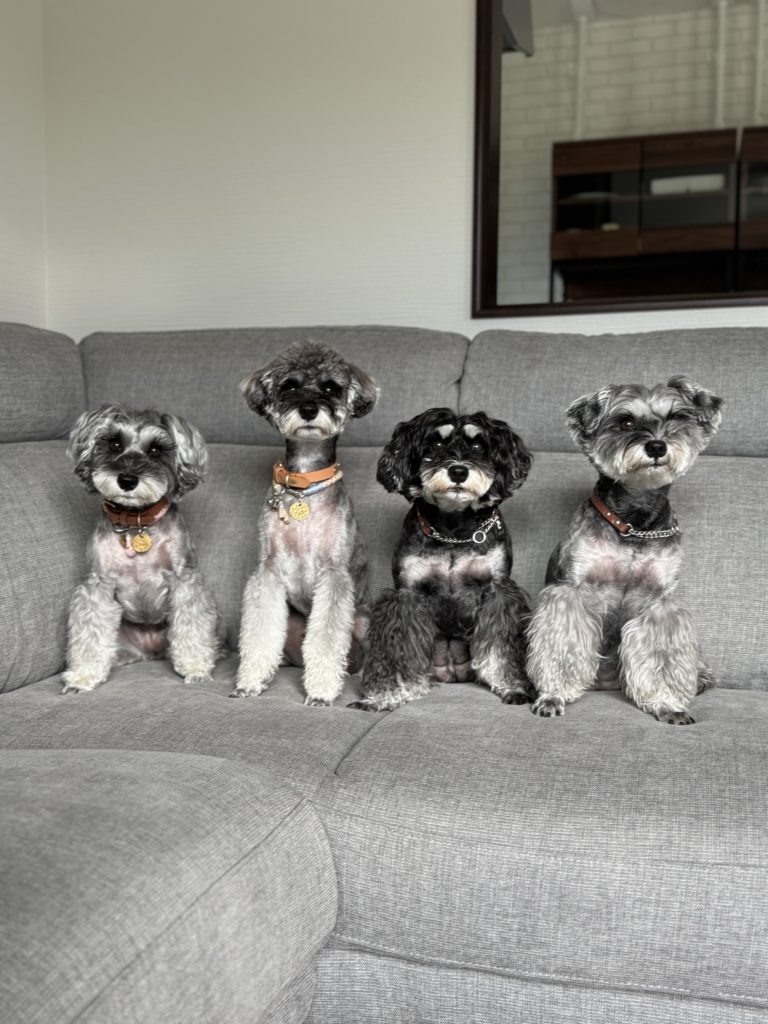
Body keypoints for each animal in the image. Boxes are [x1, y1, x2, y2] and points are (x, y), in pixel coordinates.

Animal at [62, 404, 221, 693]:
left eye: (156, 450)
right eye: (114, 443)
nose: (127, 480)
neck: (135, 522)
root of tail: (150, 651)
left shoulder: (185, 581)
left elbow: (192, 625)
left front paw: (195, 668)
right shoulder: (97, 586)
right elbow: (89, 633)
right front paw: (83, 676)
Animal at [231, 340, 378, 705]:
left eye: (331, 387)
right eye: (290, 385)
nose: (309, 409)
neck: (304, 487)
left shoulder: (334, 574)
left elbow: (326, 638)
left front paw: (322, 691)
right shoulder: (268, 572)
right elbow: (259, 633)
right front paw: (249, 682)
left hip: (364, 624)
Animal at [351, 407, 533, 712]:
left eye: (478, 445)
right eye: (435, 443)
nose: (458, 471)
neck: (452, 529)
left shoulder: (497, 592)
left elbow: (501, 647)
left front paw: (512, 686)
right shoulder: (407, 595)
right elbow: (398, 651)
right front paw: (385, 696)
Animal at [527, 375, 723, 725]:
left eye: (676, 416)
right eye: (626, 421)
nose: (657, 446)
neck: (635, 521)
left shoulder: (659, 604)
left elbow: (662, 657)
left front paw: (667, 703)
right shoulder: (570, 592)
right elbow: (561, 646)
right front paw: (553, 695)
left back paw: (700, 679)